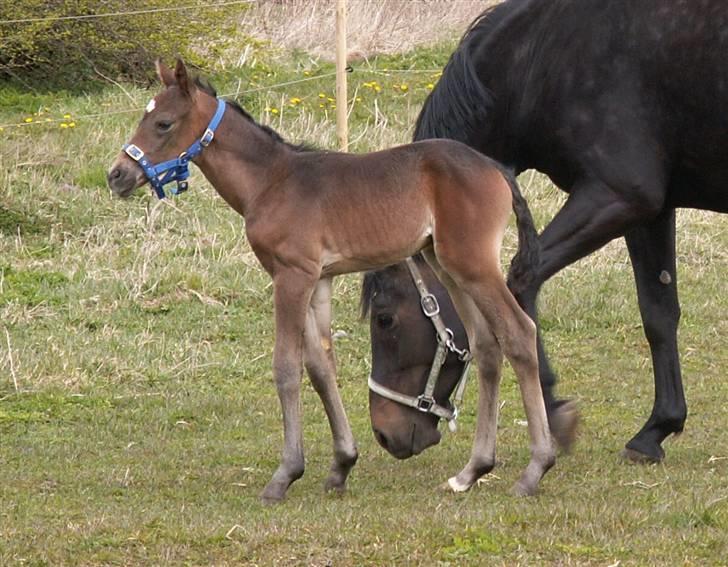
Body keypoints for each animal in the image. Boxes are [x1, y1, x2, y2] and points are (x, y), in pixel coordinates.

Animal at [105, 60, 556, 504]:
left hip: (473, 264)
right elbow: (321, 367)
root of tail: (496, 169)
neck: (271, 181)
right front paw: (341, 464)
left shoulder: (292, 276)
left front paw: (284, 475)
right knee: (485, 345)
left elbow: (286, 367)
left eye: (162, 123)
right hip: (446, 265)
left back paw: (535, 469)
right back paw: (471, 471)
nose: (116, 175)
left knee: (518, 332)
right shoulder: (316, 280)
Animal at [364, 0, 728, 464]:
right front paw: (657, 429)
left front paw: (556, 411)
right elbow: (659, 315)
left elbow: (521, 282)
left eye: (385, 319)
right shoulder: (651, 212)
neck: (544, 55)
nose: (385, 433)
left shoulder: (618, 197)